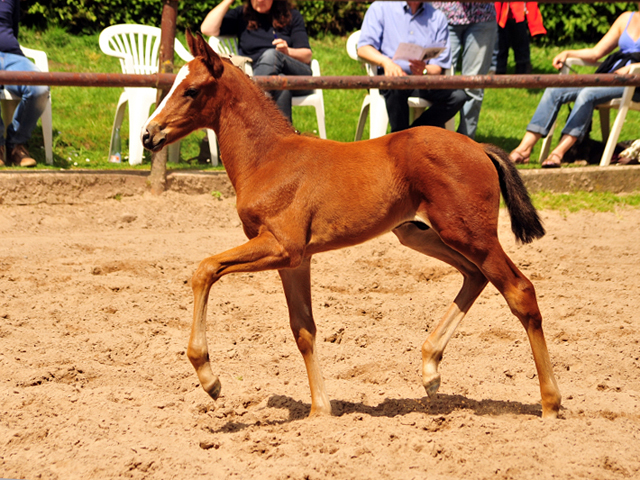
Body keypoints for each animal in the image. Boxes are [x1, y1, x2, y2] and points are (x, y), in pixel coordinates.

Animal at [141, 31, 560, 418]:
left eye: (191, 90)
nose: (149, 134)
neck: (268, 159)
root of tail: (479, 148)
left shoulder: (282, 246)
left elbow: (205, 269)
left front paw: (209, 378)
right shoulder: (295, 261)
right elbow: (303, 329)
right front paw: (320, 411)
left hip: (471, 234)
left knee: (519, 290)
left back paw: (550, 404)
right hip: (419, 234)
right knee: (475, 276)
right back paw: (430, 369)